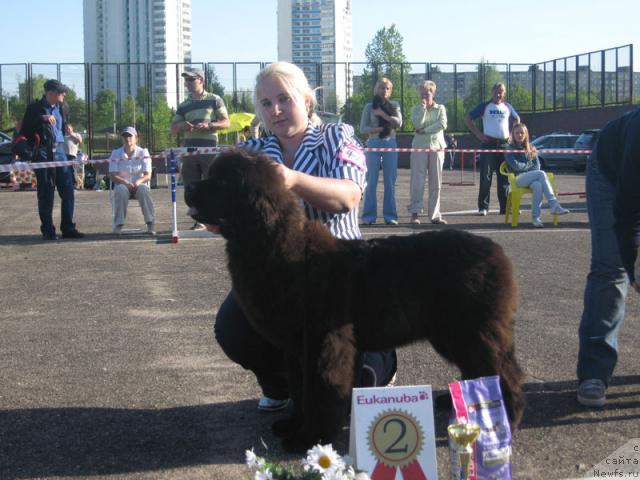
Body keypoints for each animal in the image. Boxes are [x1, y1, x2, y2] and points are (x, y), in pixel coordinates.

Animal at [185, 148, 524, 452]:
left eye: (220, 182)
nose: (187, 187)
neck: (279, 249)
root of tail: (496, 251)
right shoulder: (296, 348)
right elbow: (298, 388)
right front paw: (293, 424)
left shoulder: (323, 341)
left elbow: (317, 392)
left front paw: (309, 438)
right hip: (454, 333)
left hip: (469, 330)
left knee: (502, 371)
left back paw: (505, 420)